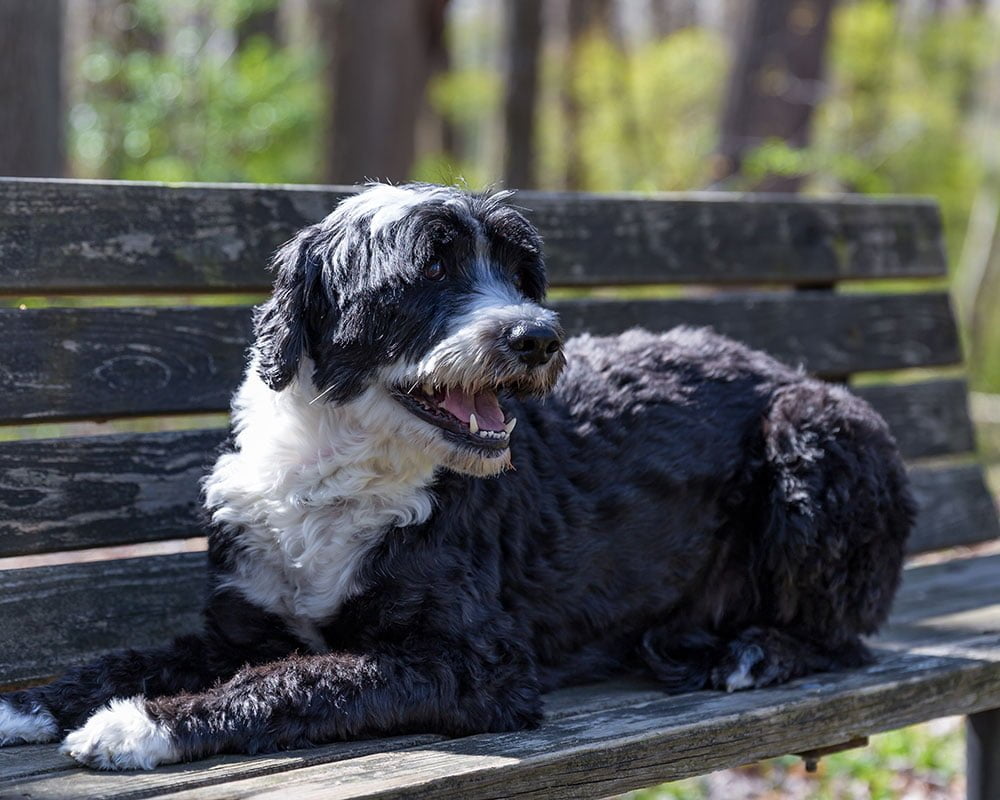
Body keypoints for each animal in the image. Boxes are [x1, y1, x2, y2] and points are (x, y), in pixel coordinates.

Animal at [0, 183, 916, 768]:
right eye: (430, 268)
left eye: (518, 270)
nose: (538, 337)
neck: (341, 465)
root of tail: (786, 368)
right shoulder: (238, 626)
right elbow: (133, 656)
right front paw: (34, 703)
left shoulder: (473, 660)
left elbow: (300, 679)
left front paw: (140, 724)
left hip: (818, 437)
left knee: (843, 638)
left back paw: (757, 652)